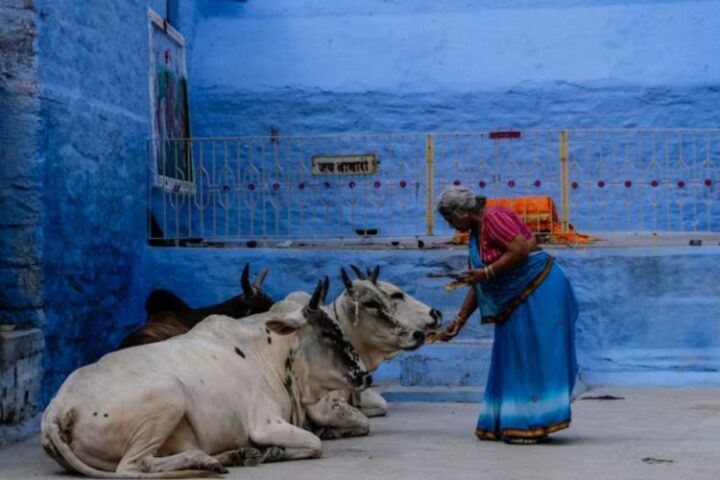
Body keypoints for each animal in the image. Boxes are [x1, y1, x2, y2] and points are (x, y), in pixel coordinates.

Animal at [41, 280, 371, 478]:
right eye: (329, 333)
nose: (365, 375)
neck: (269, 354)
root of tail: (56, 408)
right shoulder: (265, 423)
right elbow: (315, 443)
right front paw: (274, 452)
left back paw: (232, 455)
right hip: (170, 395)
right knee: (133, 466)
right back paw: (206, 460)